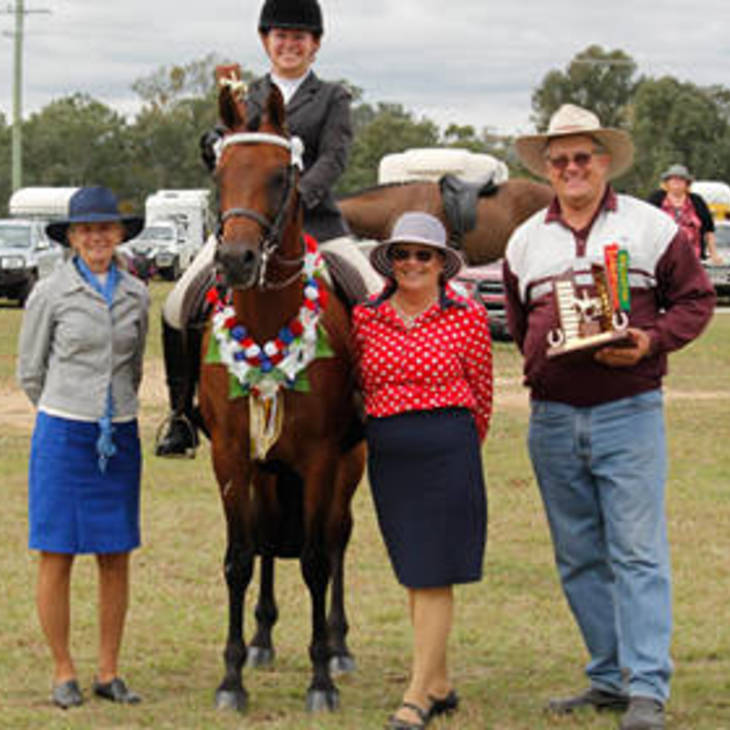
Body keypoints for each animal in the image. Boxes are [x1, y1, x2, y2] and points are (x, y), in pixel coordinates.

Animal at [198, 71, 365, 713]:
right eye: (218, 174)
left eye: (280, 176)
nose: (236, 260)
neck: (268, 322)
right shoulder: (231, 456)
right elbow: (239, 560)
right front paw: (230, 678)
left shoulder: (320, 460)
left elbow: (317, 561)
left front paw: (320, 680)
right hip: (268, 471)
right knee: (268, 539)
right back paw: (262, 640)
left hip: (348, 465)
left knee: (337, 540)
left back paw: (339, 648)